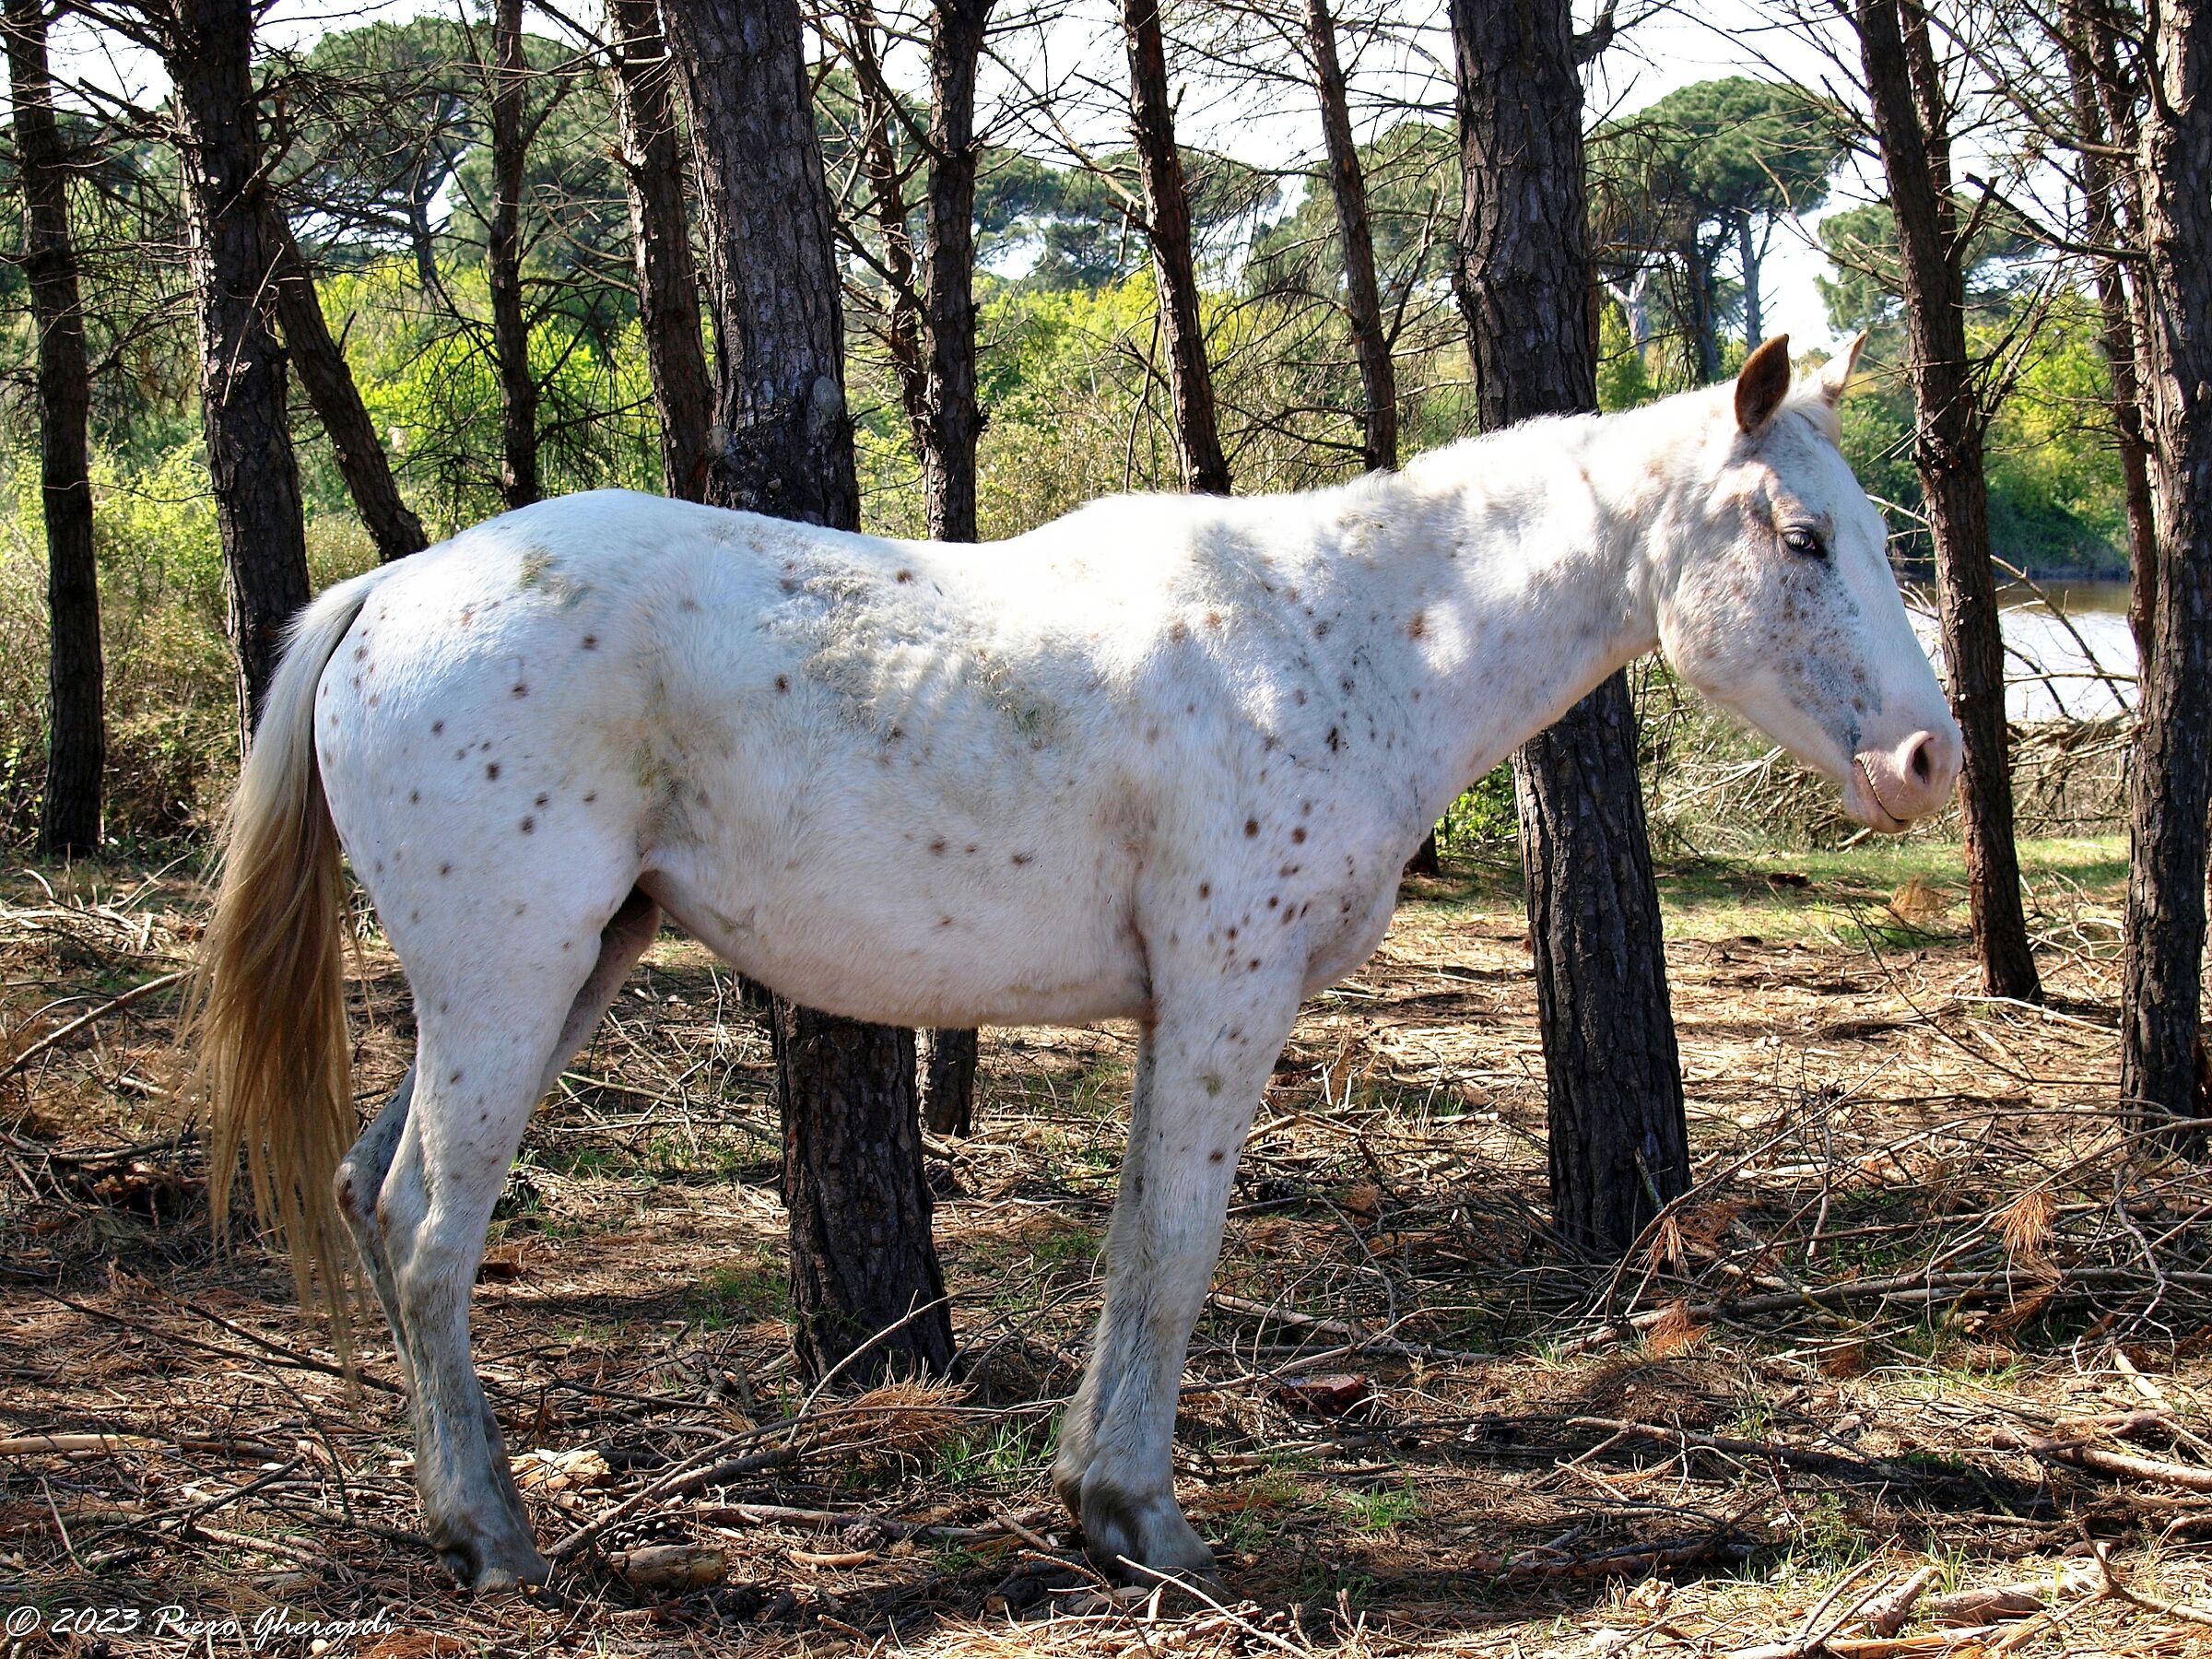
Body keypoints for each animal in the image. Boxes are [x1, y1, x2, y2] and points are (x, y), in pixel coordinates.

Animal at [185, 334, 1960, 1591]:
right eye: (1802, 537)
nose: (1930, 762)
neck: (1345, 637)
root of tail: (387, 593)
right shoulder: (1230, 992)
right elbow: (1176, 1247)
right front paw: (1146, 1518)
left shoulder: (1179, 1008)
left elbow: (1127, 1243)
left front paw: (1090, 1502)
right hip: (508, 982)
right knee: (429, 1232)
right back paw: (497, 1541)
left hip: (562, 976)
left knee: (369, 1195)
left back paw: (449, 1516)